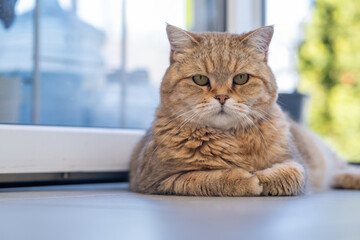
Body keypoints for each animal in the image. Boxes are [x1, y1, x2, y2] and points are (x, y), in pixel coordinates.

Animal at [129, 23, 360, 197]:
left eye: (241, 78)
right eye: (200, 79)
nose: (222, 97)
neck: (232, 138)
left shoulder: (297, 162)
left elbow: (293, 174)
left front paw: (264, 177)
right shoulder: (157, 180)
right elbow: (206, 177)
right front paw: (245, 178)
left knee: (341, 167)